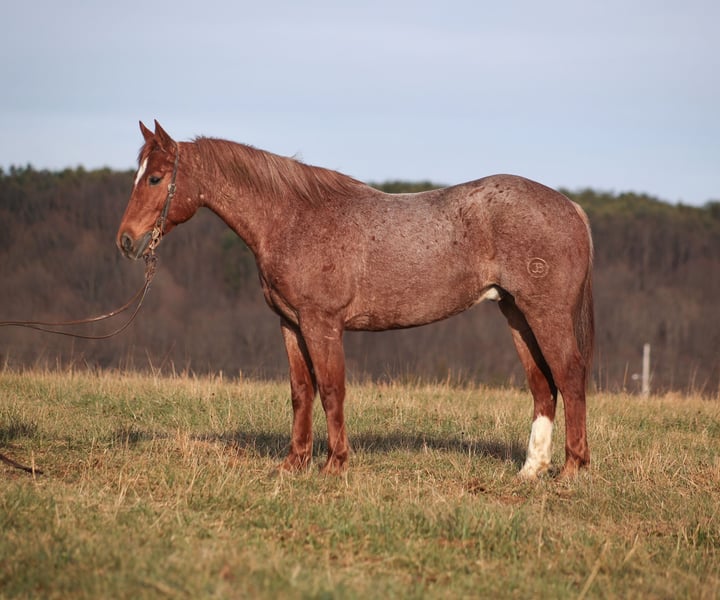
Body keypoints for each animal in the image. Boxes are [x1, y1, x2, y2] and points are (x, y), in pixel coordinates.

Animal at [117, 120, 594, 480]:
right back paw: (531, 470)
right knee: (543, 386)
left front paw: (335, 465)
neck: (293, 219)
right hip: (516, 313)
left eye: (156, 178)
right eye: (138, 175)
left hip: (545, 314)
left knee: (570, 378)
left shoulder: (322, 323)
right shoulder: (291, 324)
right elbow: (301, 392)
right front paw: (293, 464)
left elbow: (331, 389)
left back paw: (572, 469)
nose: (126, 241)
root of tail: (571, 208)